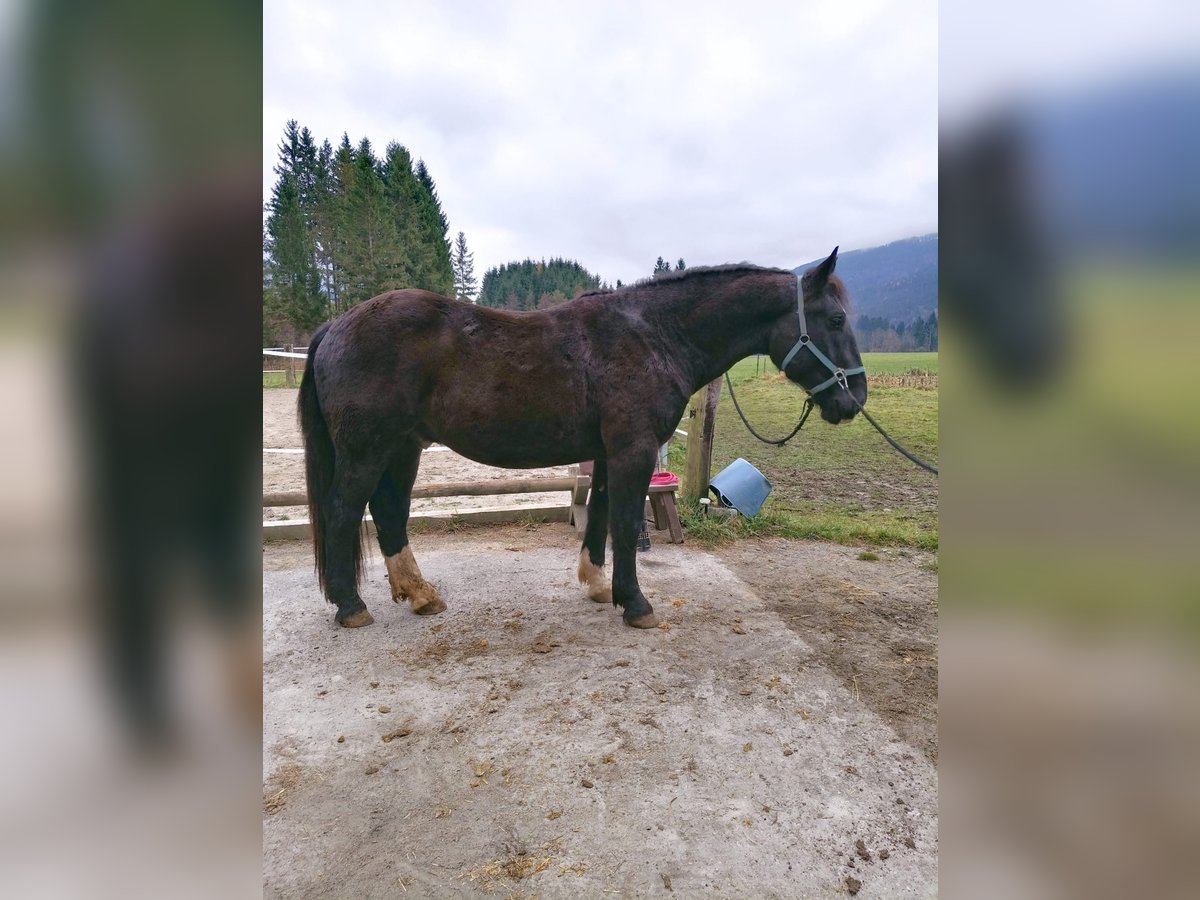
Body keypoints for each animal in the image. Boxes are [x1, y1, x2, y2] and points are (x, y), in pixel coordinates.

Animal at [298, 248, 866, 630]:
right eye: (836, 318)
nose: (854, 398)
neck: (654, 334)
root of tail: (335, 326)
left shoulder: (609, 453)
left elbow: (601, 514)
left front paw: (597, 585)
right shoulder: (634, 449)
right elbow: (625, 522)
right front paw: (635, 604)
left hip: (403, 449)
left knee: (388, 512)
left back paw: (419, 595)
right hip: (367, 451)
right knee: (345, 511)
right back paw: (351, 606)